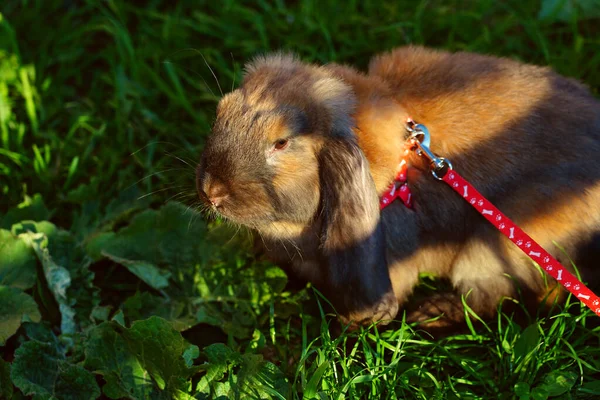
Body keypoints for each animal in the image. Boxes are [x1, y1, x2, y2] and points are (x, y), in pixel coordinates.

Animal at [196, 45, 600, 332]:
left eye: (281, 143)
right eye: (221, 111)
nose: (211, 192)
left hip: (493, 247)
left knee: (491, 298)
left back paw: (432, 313)